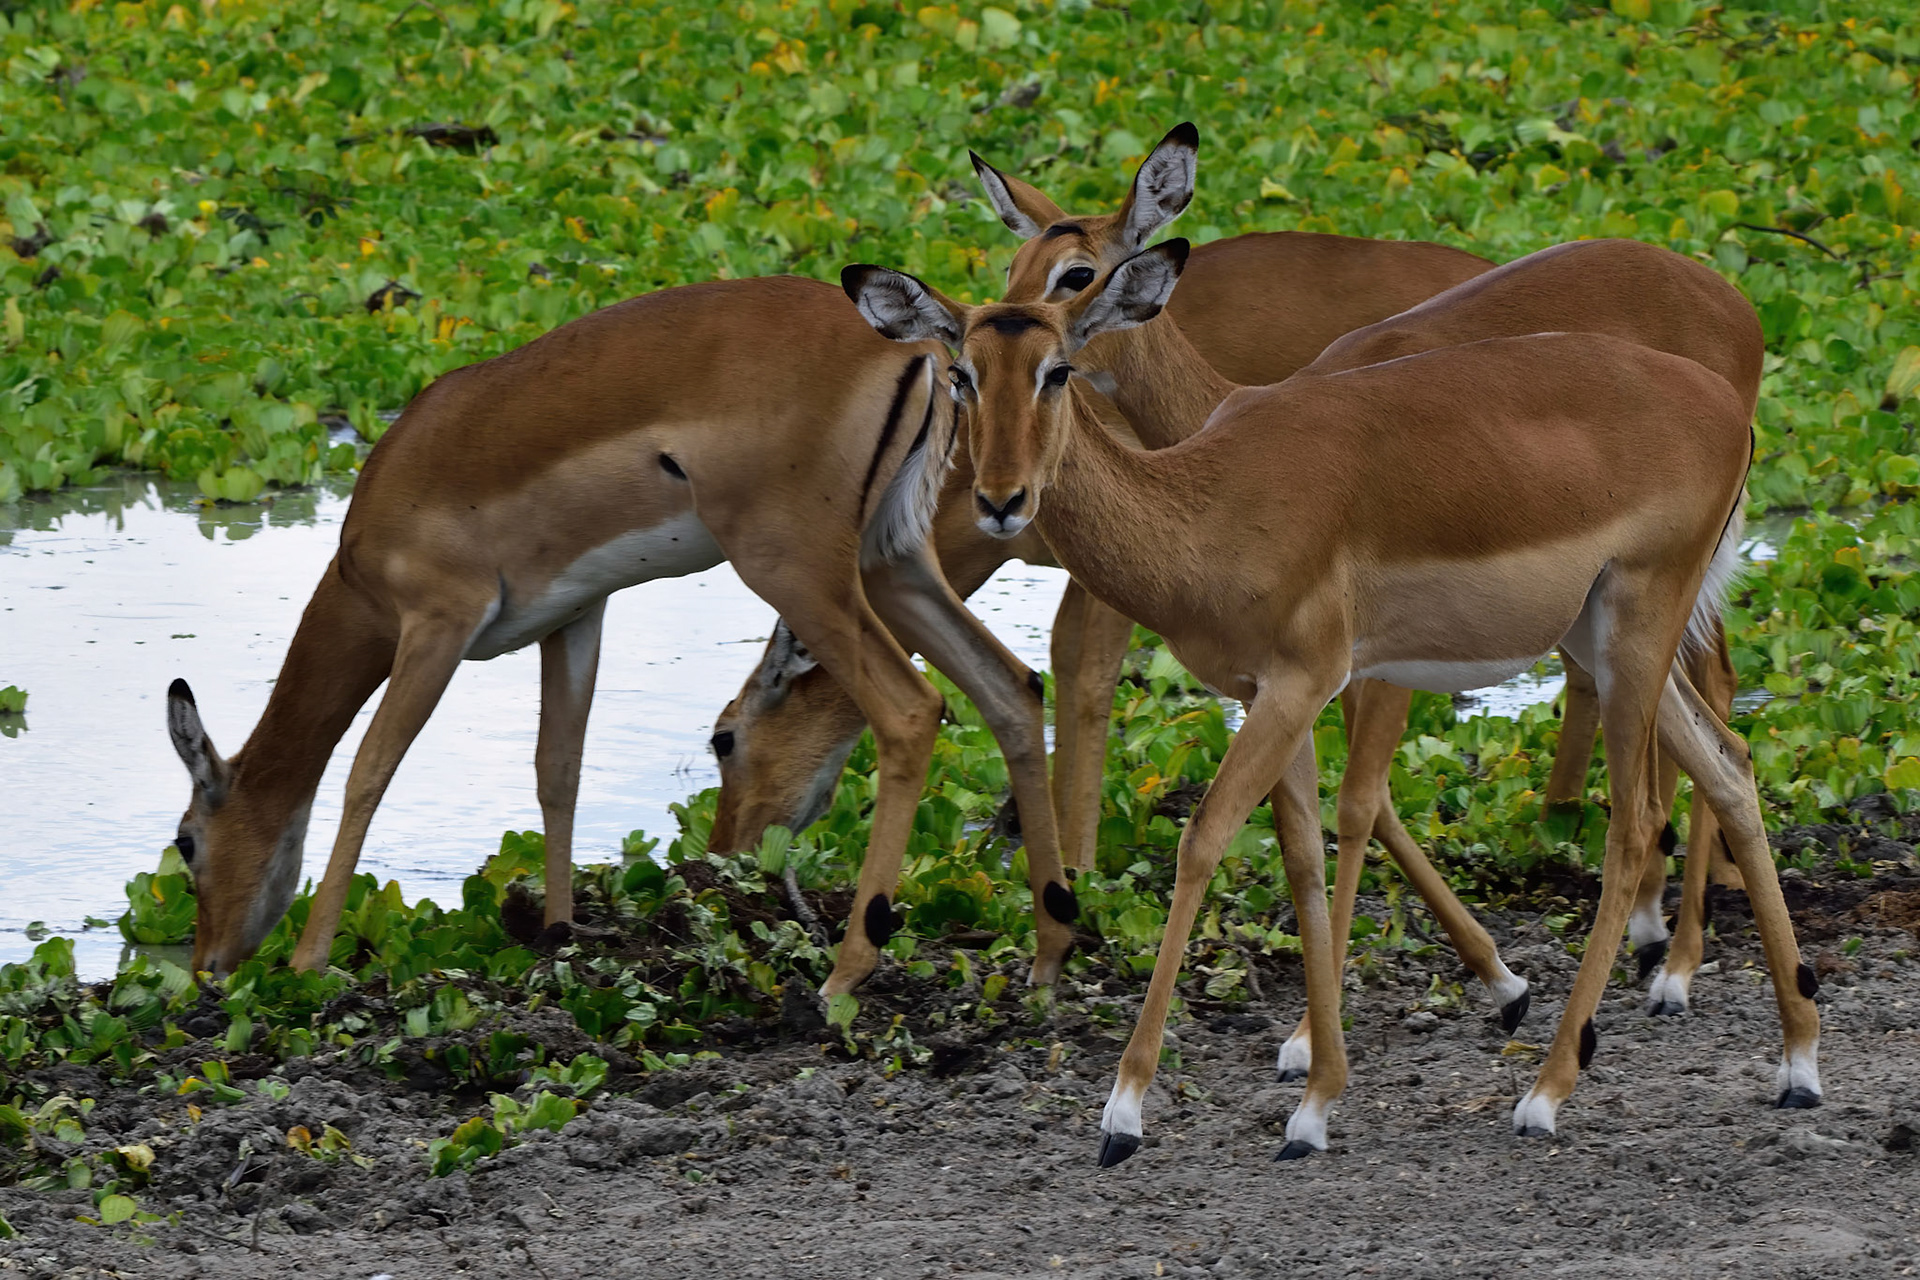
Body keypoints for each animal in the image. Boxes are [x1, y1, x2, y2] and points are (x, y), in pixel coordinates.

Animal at [162, 274, 1082, 995]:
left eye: (184, 843)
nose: (208, 967)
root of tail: (916, 352)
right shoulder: (574, 617)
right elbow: (557, 770)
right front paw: (558, 933)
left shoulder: (436, 628)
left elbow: (368, 772)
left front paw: (308, 961)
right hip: (893, 562)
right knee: (1009, 687)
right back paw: (1049, 951)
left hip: (796, 570)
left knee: (912, 709)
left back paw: (846, 973)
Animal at [712, 125, 1742, 1030]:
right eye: (1010, 274)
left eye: (1078, 274)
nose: (729, 856)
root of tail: (1727, 296)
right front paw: (1491, 980)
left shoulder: (1356, 659)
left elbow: (1351, 802)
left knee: (1705, 694)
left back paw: (1673, 950)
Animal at [843, 238, 1820, 1160]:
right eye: (961, 371)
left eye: (1057, 369)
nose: (1002, 500)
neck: (1210, 501)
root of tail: (1729, 408)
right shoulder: (1267, 693)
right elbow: (1304, 855)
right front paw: (1312, 1104)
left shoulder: (1305, 682)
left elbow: (1206, 842)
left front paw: (1125, 1114)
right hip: (1603, 642)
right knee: (1730, 763)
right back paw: (1798, 1064)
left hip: (1637, 629)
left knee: (1634, 822)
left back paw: (1547, 1093)